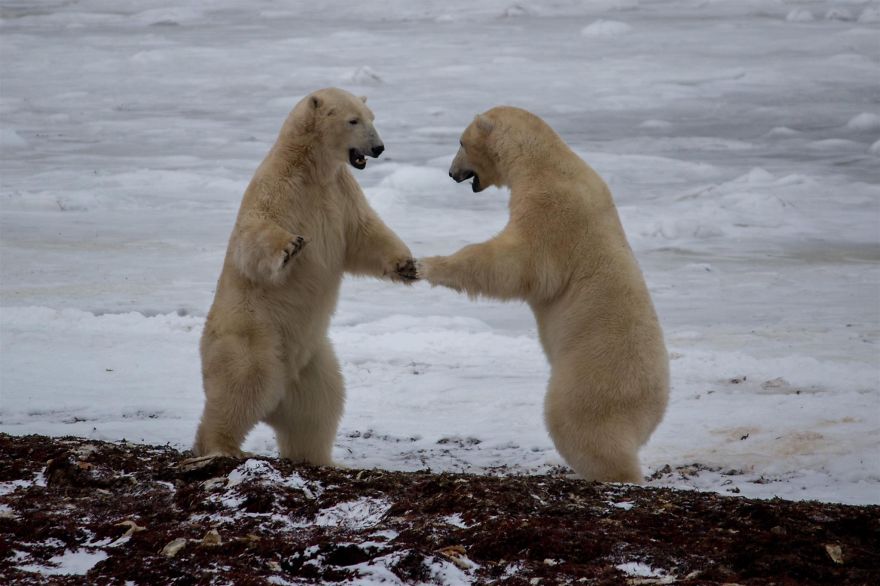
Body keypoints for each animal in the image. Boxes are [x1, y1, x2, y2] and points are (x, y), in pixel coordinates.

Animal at [193, 88, 417, 464]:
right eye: (353, 120)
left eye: (371, 117)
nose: (378, 147)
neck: (310, 168)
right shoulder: (279, 188)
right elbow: (252, 235)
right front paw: (290, 247)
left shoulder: (341, 193)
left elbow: (364, 234)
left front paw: (407, 265)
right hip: (255, 334)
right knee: (241, 387)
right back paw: (219, 447)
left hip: (311, 359)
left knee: (320, 406)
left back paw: (320, 458)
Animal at [417, 106, 669, 483]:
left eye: (460, 142)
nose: (451, 173)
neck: (545, 162)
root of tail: (655, 404)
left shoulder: (551, 209)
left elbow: (516, 263)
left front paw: (427, 264)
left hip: (593, 375)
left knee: (578, 423)